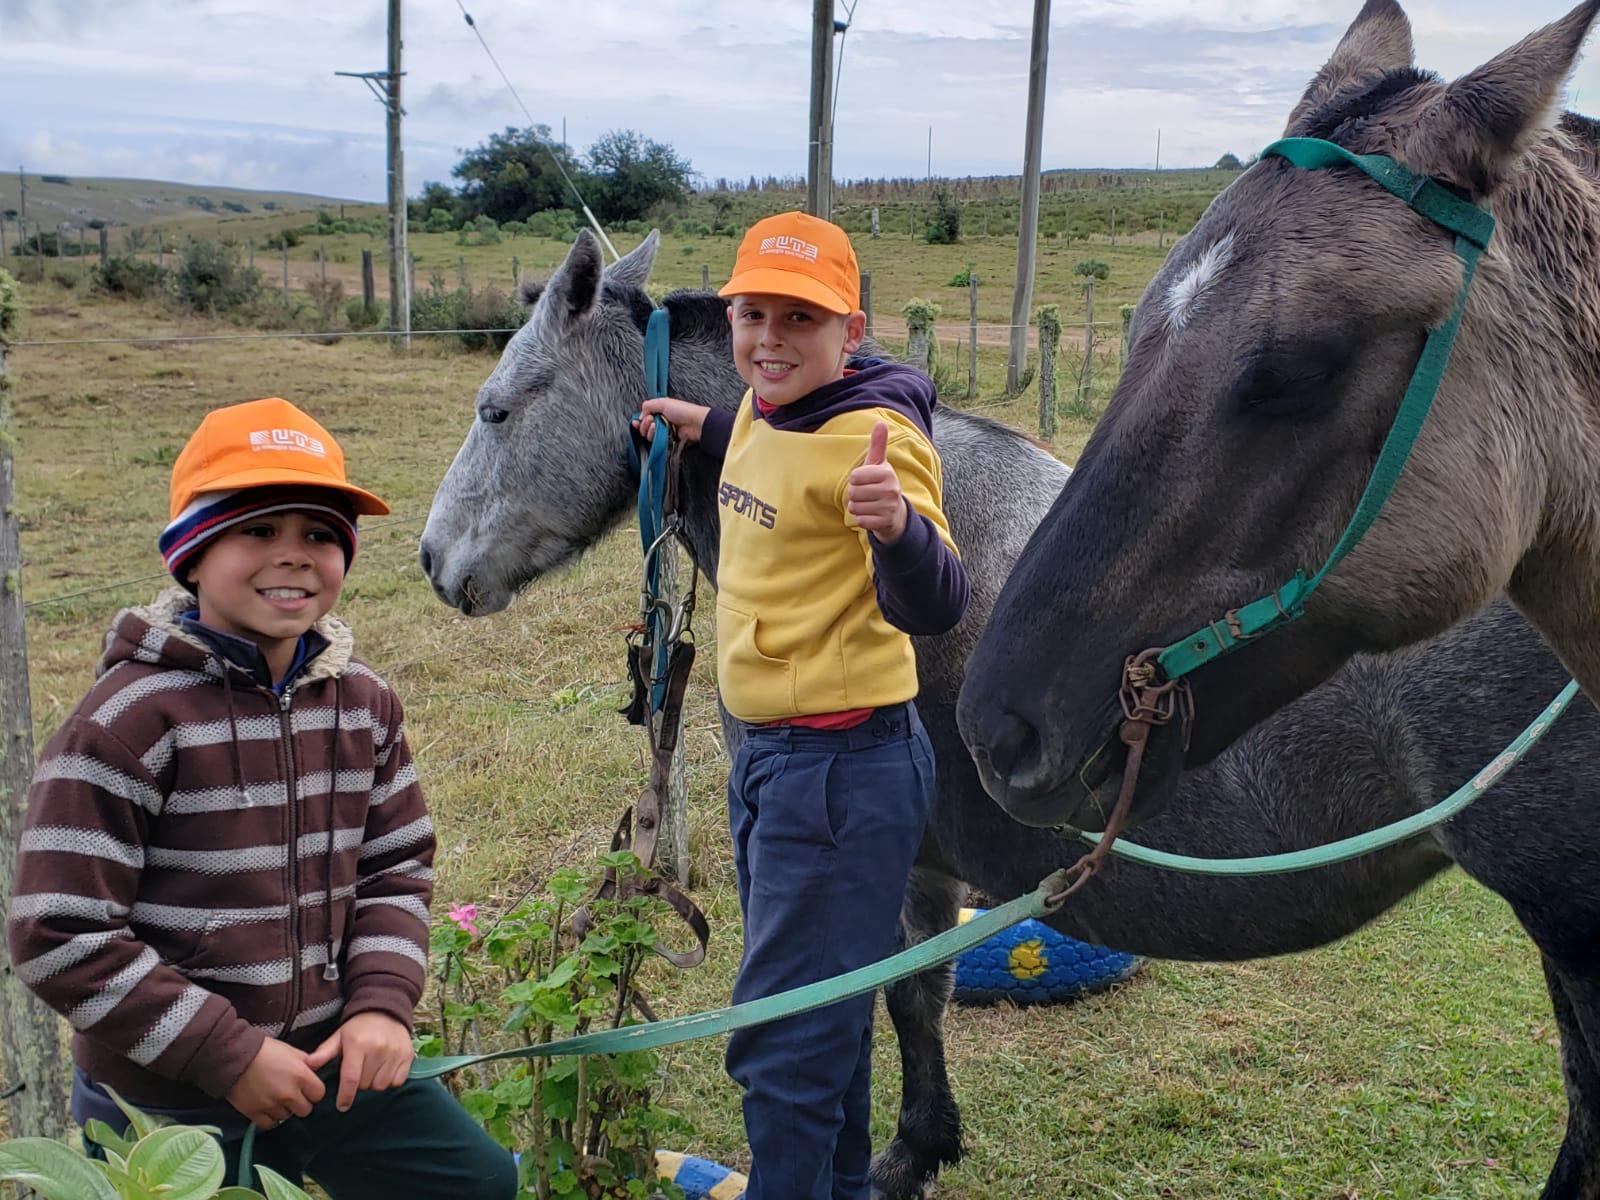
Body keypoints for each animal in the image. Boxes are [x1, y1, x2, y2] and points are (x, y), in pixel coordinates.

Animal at [422, 232, 1600, 1196]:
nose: (436, 563)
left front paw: (900, 1154)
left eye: (496, 409)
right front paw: (925, 1142)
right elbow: (919, 998)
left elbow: (870, 1010)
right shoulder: (934, 864)